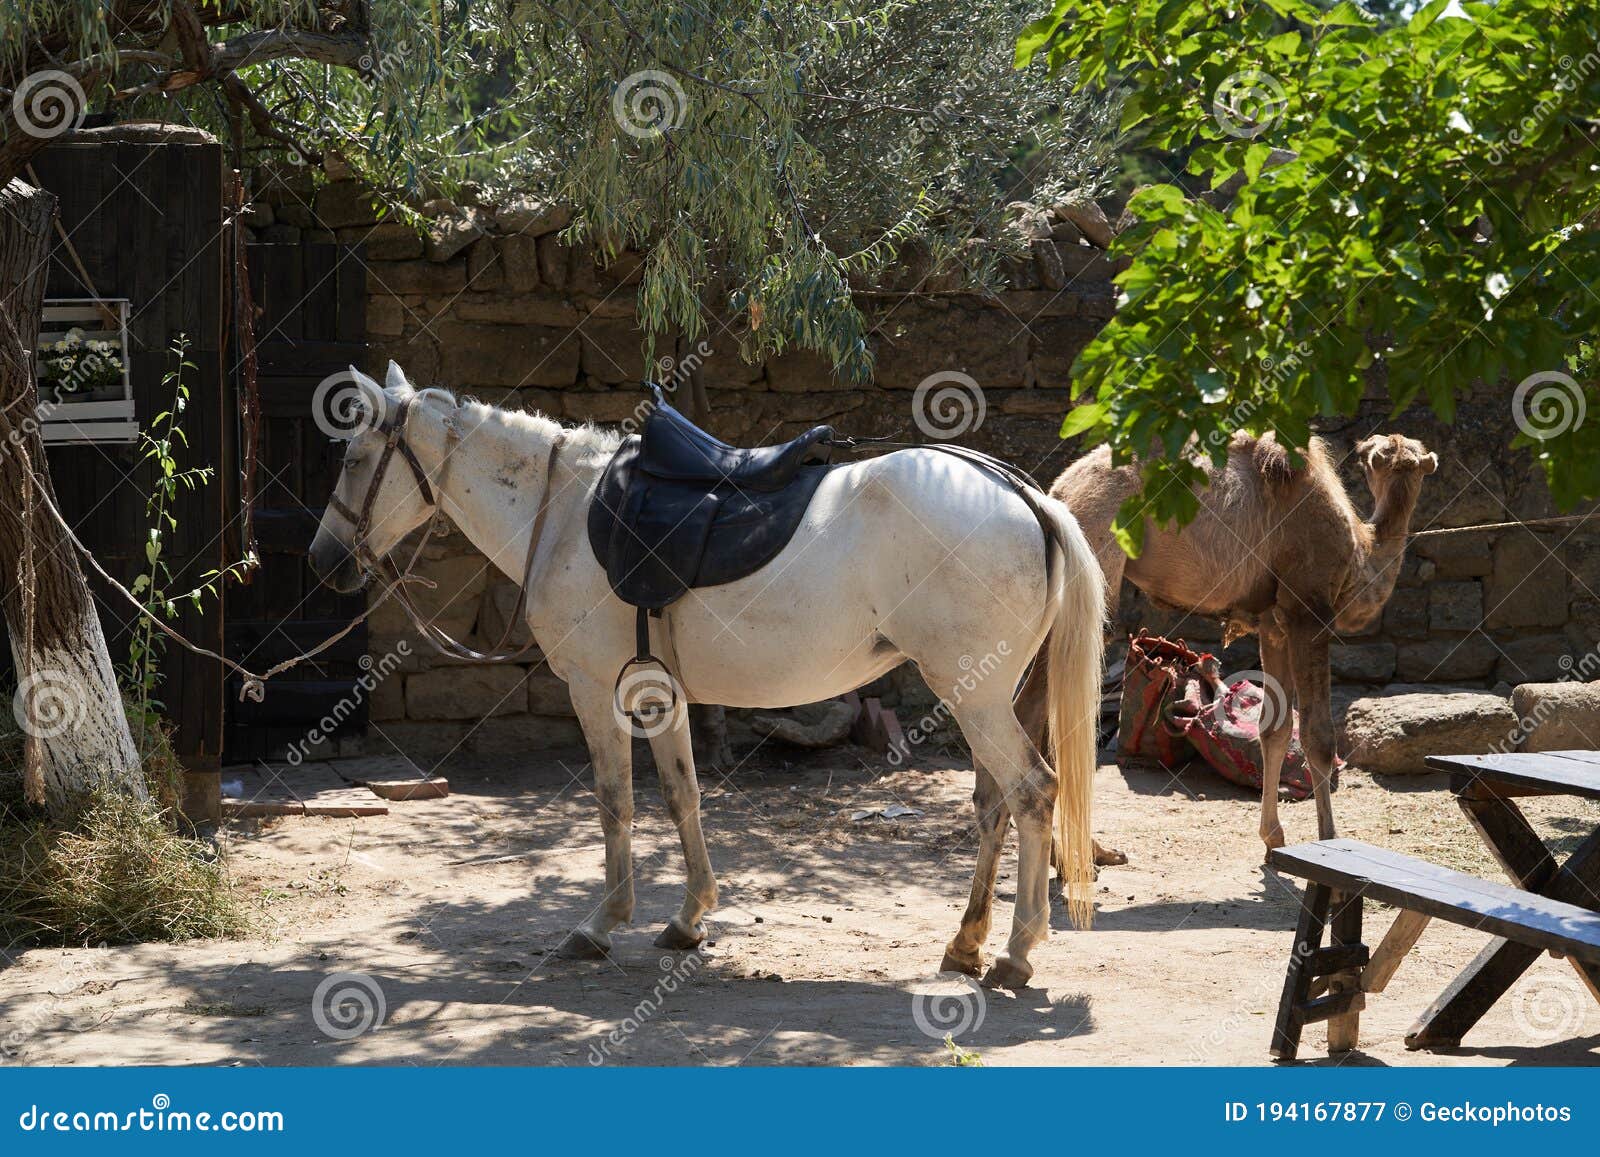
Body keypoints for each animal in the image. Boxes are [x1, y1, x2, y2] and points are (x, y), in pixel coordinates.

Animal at [313, 366, 1113, 992]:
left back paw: (1016, 953)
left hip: (975, 696)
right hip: (988, 694)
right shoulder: (657, 694)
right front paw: (689, 917)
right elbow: (682, 797)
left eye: (353, 458)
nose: (324, 560)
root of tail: (1028, 498)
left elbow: (615, 803)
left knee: (1032, 792)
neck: (563, 510)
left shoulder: (595, 690)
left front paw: (600, 924)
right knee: (994, 804)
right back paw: (967, 944)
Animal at [1024, 428, 1440, 857]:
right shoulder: (1309, 612)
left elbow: (1275, 729)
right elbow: (1318, 736)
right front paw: (1329, 841)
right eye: (1377, 455)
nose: (1370, 444)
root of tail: (1058, 493)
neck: (1360, 554)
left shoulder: (1274, 625)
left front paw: (1274, 838)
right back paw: (1085, 851)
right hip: (1095, 561)